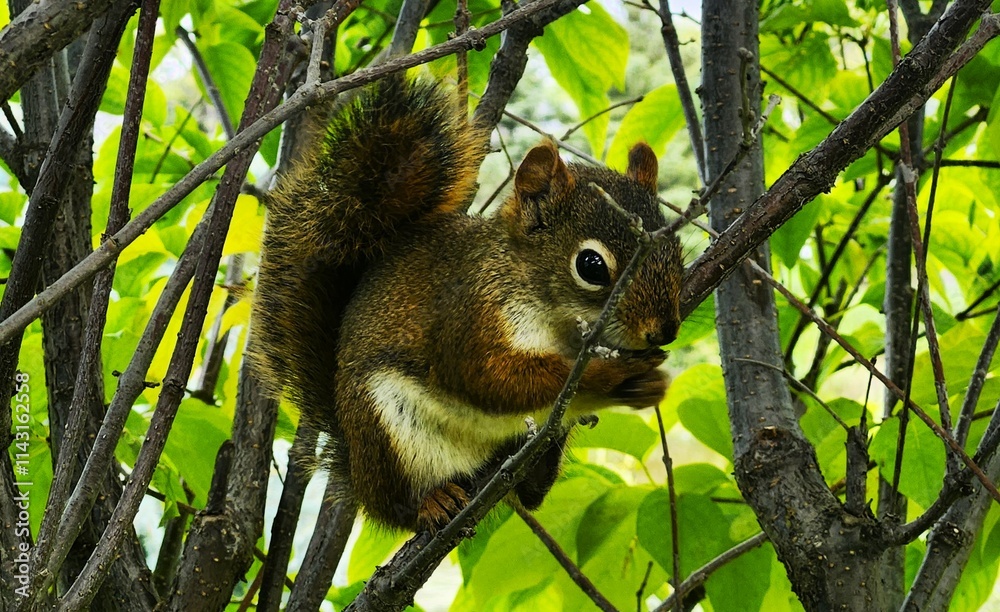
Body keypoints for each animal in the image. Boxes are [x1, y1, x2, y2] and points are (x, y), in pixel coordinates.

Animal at [250, 75, 684, 532]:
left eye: (674, 248)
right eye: (591, 265)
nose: (664, 329)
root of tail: (357, 470)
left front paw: (647, 384)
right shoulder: (468, 312)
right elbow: (488, 377)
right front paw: (611, 374)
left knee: (530, 495)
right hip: (384, 430)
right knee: (399, 509)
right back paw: (430, 503)